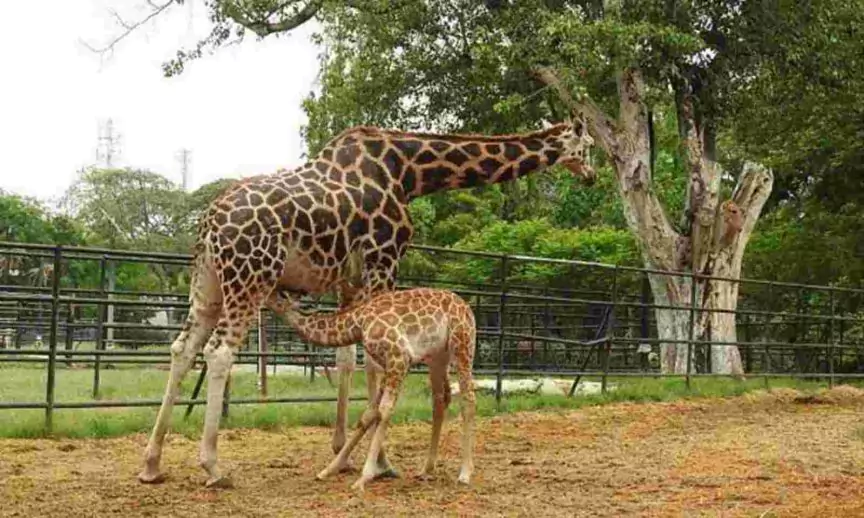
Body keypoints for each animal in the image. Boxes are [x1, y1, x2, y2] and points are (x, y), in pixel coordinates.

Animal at [276, 290, 476, 494]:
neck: (358, 323)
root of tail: (466, 307)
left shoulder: (399, 357)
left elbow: (384, 411)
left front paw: (365, 476)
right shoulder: (390, 365)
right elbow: (369, 413)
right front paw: (329, 469)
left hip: (462, 344)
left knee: (468, 398)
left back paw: (465, 473)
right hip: (437, 357)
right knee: (441, 399)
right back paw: (427, 469)